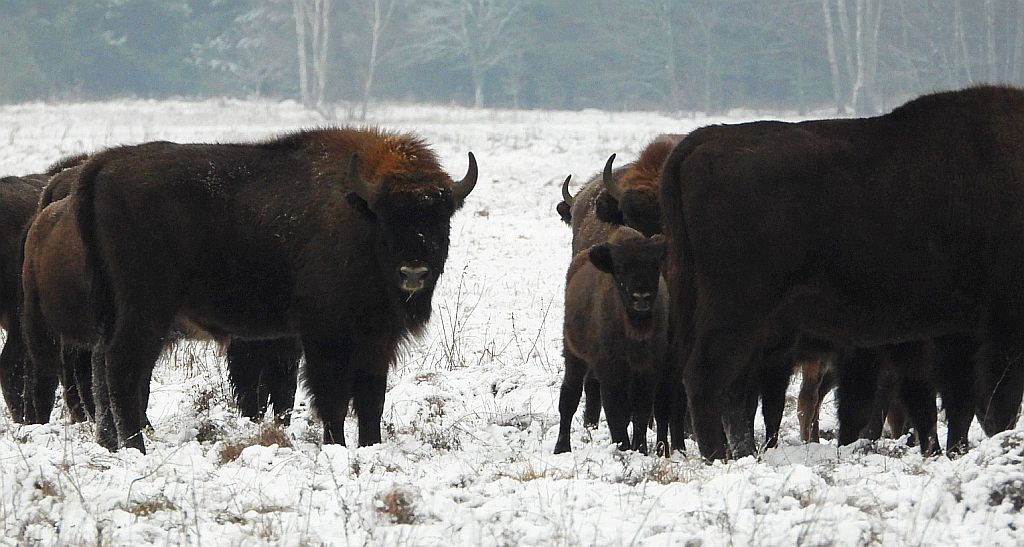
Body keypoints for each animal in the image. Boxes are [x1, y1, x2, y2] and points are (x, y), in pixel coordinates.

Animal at [76, 129, 477, 452]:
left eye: (441, 219)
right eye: (387, 218)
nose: (414, 272)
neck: (358, 213)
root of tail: (105, 163)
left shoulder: (377, 338)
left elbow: (370, 398)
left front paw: (370, 445)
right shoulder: (324, 335)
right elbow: (332, 396)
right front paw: (336, 446)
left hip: (115, 309)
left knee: (101, 366)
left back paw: (109, 443)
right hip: (148, 308)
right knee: (125, 366)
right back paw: (135, 447)